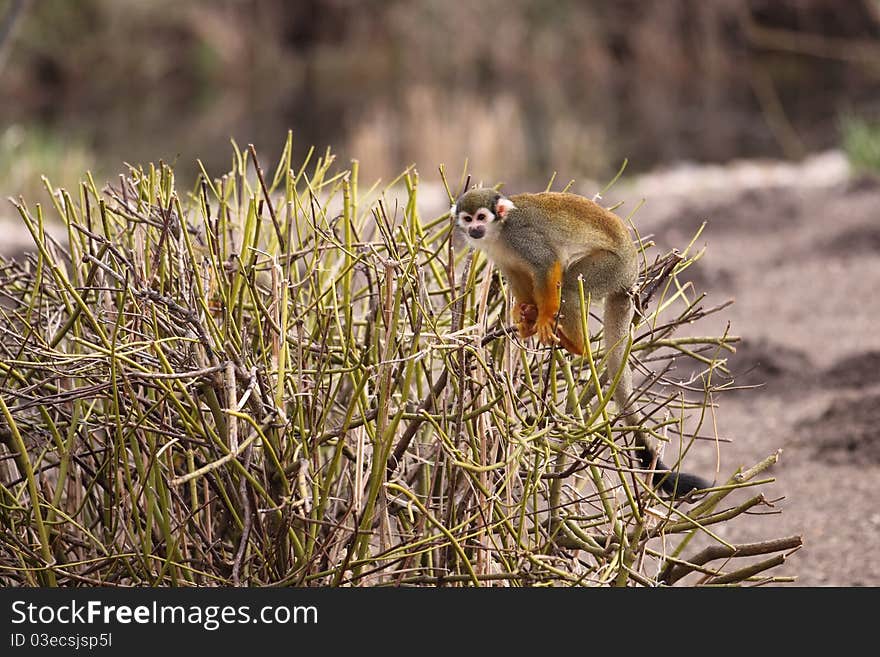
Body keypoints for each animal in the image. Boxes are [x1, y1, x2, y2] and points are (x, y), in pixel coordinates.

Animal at [454, 187, 708, 494]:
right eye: (468, 219)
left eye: (481, 217)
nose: (474, 229)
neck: (498, 232)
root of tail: (631, 273)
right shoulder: (498, 252)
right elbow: (516, 275)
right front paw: (526, 315)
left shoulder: (521, 237)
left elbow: (547, 265)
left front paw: (544, 317)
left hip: (611, 268)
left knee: (571, 285)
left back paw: (574, 342)